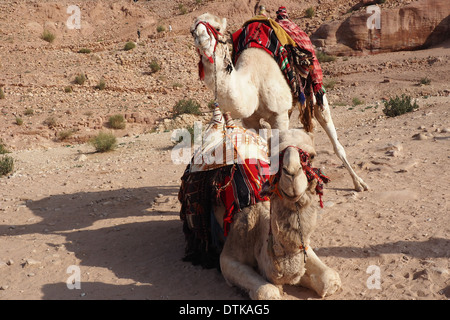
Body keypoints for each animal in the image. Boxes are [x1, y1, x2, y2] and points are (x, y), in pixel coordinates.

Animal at [190, 12, 370, 191]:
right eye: (192, 31)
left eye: (217, 28)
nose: (200, 37)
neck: (253, 83)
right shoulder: (250, 120)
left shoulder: (279, 115)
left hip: (314, 86)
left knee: (328, 127)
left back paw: (359, 183)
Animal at [214, 123, 342, 300]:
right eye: (272, 157)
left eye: (312, 156)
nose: (292, 174)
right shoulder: (230, 252)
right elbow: (267, 291)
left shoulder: (305, 248)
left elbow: (330, 279)